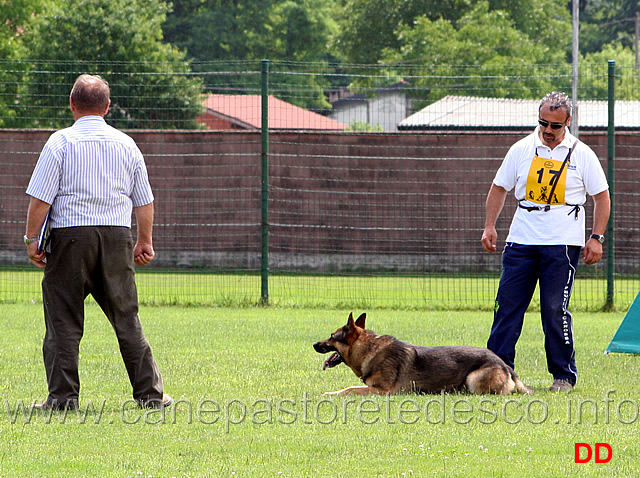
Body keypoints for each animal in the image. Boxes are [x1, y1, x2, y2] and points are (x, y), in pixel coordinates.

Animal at [312, 314, 532, 396]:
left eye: (331, 336)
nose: (314, 344)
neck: (369, 348)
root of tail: (504, 365)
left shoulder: (382, 391)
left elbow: (349, 389)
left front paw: (329, 394)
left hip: (474, 378)